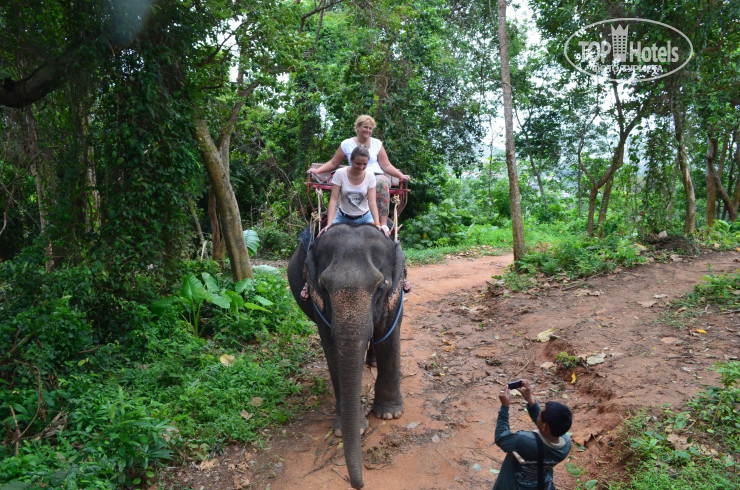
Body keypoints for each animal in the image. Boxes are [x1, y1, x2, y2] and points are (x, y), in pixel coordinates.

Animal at [287, 222, 406, 489]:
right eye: (324, 287)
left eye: (380, 286)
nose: (358, 484)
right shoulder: (318, 301)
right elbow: (332, 348)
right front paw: (344, 429)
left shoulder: (396, 292)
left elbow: (389, 334)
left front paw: (389, 414)